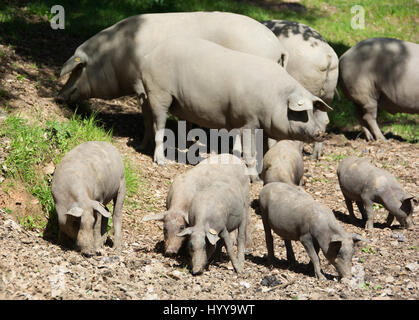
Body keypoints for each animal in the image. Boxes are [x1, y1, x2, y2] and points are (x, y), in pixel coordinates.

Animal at [56, 11, 288, 149]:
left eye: (79, 69)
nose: (59, 96)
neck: (115, 55)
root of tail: (278, 48)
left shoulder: (142, 86)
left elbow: (147, 117)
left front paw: (141, 146)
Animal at [143, 37, 334, 170]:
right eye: (300, 112)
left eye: (313, 111)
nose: (320, 133)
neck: (273, 98)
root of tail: (149, 55)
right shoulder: (247, 120)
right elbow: (250, 152)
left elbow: (266, 149)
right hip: (158, 93)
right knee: (158, 125)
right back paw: (161, 162)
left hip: (178, 103)